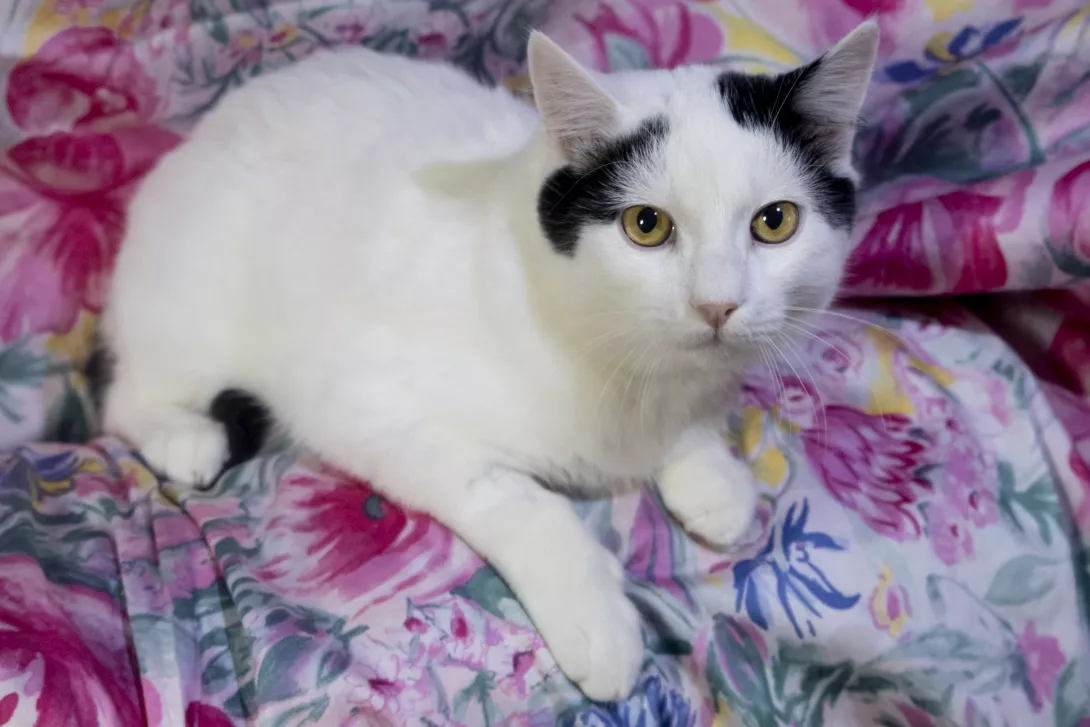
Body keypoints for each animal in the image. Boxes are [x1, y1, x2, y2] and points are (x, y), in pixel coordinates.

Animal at [96, 22, 877, 701]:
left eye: (775, 221)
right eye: (646, 226)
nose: (718, 304)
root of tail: (211, 126)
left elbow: (698, 416)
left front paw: (711, 469)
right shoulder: (364, 404)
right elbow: (518, 499)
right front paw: (597, 616)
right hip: (191, 302)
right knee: (129, 395)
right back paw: (181, 433)